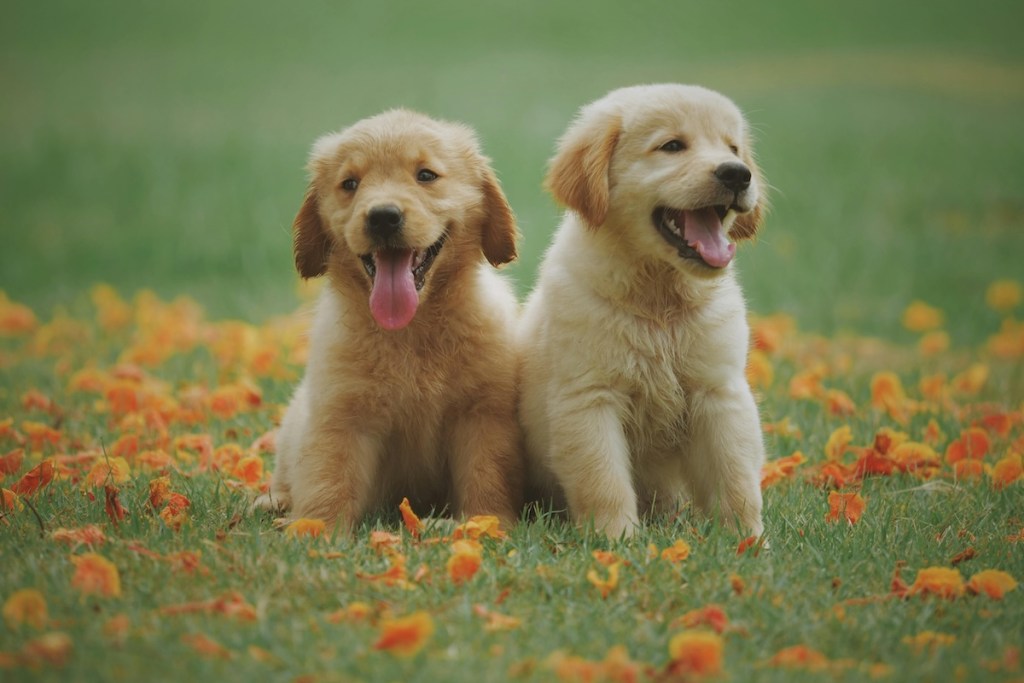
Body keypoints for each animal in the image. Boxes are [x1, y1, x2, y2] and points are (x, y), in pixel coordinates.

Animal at [260, 109, 524, 532]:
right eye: (350, 184)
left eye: (426, 175)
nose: (383, 217)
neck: (411, 331)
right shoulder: (340, 414)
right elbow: (328, 475)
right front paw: (316, 530)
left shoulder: (482, 413)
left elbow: (487, 473)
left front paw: (485, 522)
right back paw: (273, 502)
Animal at [520, 85, 770, 536]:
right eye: (672, 146)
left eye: (733, 148)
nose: (738, 174)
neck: (659, 299)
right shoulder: (590, 398)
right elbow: (603, 480)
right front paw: (615, 539)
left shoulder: (719, 393)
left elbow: (736, 477)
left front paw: (748, 540)